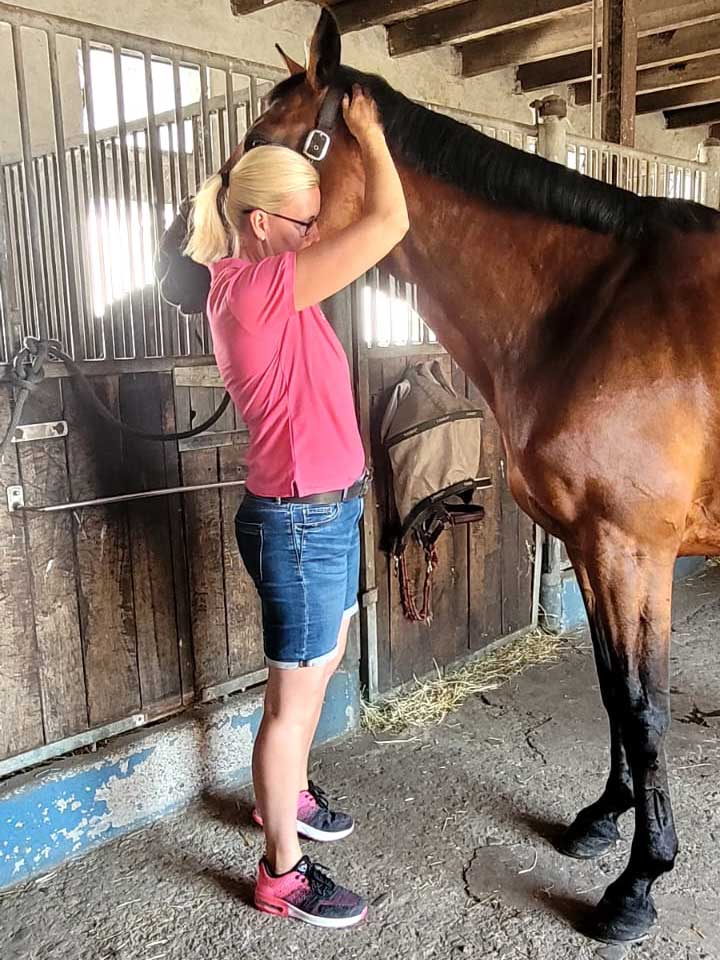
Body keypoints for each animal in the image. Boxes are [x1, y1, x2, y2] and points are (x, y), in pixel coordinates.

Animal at [159, 10, 720, 945]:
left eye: (261, 142)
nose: (176, 268)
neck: (590, 306)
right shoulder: (594, 550)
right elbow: (612, 691)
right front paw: (602, 823)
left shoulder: (632, 552)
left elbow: (644, 708)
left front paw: (637, 886)